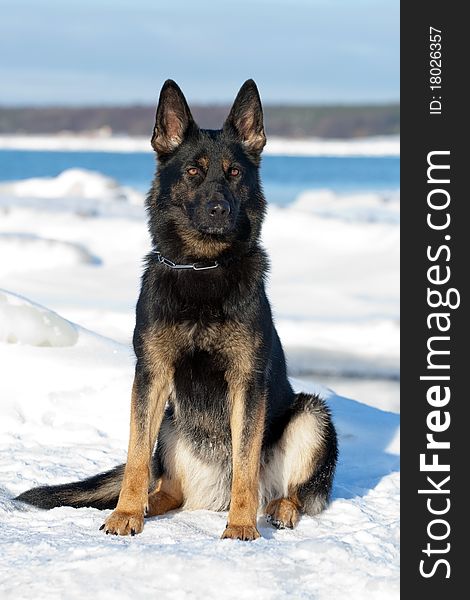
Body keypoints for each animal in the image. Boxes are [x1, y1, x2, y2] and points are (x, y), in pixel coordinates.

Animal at [15, 78, 338, 540]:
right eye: (193, 172)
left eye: (234, 173)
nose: (219, 209)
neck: (201, 266)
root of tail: (211, 494)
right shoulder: (151, 375)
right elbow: (136, 457)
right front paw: (125, 514)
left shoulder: (246, 382)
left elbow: (245, 466)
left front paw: (241, 526)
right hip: (170, 421)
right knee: (167, 485)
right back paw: (149, 504)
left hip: (311, 416)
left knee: (288, 488)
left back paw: (279, 509)